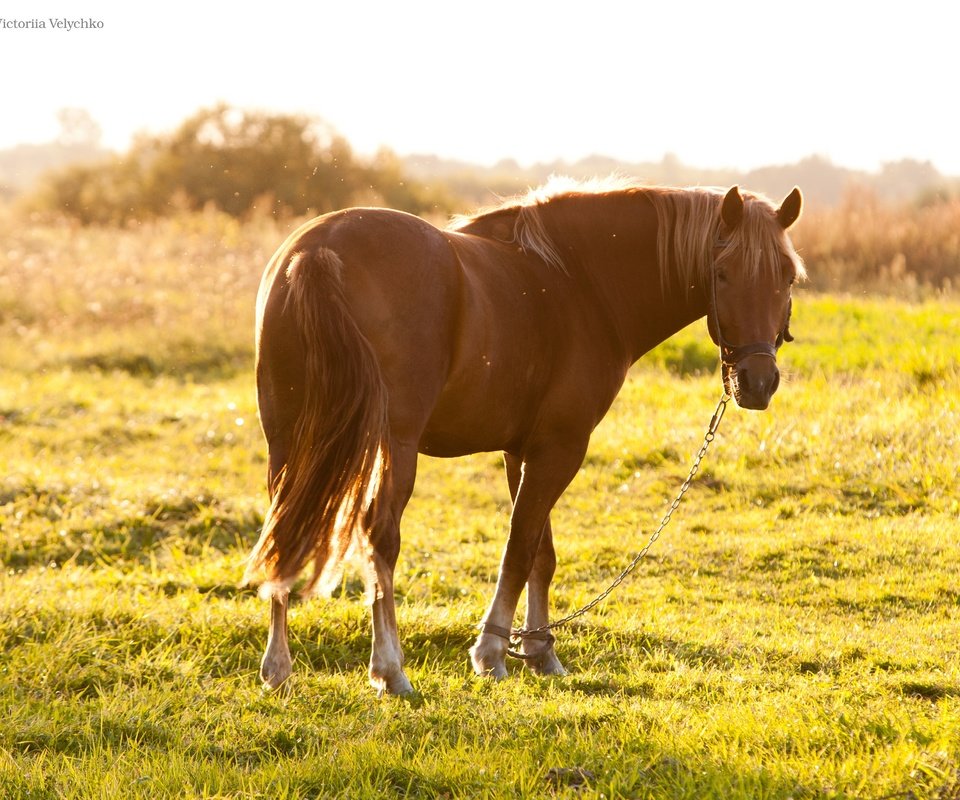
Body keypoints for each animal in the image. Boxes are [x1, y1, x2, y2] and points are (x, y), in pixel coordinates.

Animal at [246, 180, 804, 692]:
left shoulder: (523, 450)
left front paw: (539, 651)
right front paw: (492, 652)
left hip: (288, 441)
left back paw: (278, 668)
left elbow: (541, 553)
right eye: (722, 273)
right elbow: (519, 547)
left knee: (283, 529)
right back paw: (389, 669)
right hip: (393, 445)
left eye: (785, 275)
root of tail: (316, 253)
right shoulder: (561, 447)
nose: (757, 382)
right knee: (380, 537)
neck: (579, 283)